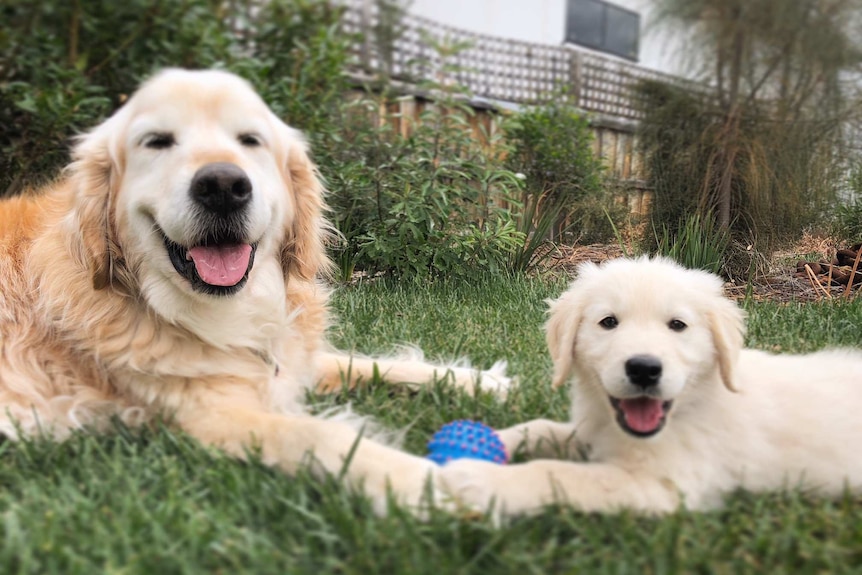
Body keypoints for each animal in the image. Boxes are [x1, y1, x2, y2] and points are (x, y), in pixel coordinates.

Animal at [0, 70, 506, 516]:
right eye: (157, 141)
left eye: (250, 140)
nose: (223, 186)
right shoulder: (211, 418)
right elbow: (322, 436)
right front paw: (431, 484)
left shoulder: (289, 361)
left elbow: (373, 364)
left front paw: (480, 380)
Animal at [442, 258, 862, 516]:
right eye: (608, 322)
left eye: (677, 325)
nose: (644, 370)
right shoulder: (594, 431)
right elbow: (540, 427)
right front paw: (492, 439)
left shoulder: (663, 486)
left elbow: (560, 474)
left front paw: (477, 479)